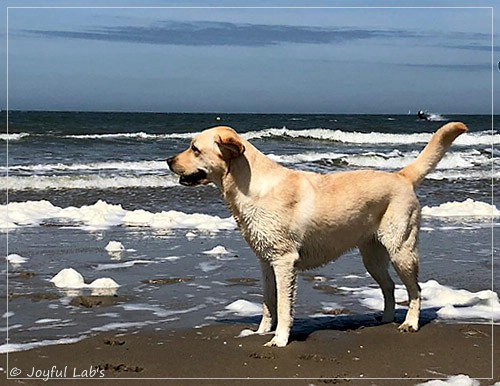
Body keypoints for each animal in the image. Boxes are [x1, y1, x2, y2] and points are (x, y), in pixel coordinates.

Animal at [168, 123, 468, 346]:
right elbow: (267, 301)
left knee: (415, 289)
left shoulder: (284, 261)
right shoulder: (266, 262)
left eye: (194, 148)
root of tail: (401, 176)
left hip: (401, 250)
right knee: (390, 287)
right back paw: (386, 319)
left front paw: (279, 340)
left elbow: (283, 306)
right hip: (372, 257)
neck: (249, 186)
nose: (168, 160)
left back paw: (410, 323)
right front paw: (262, 331)